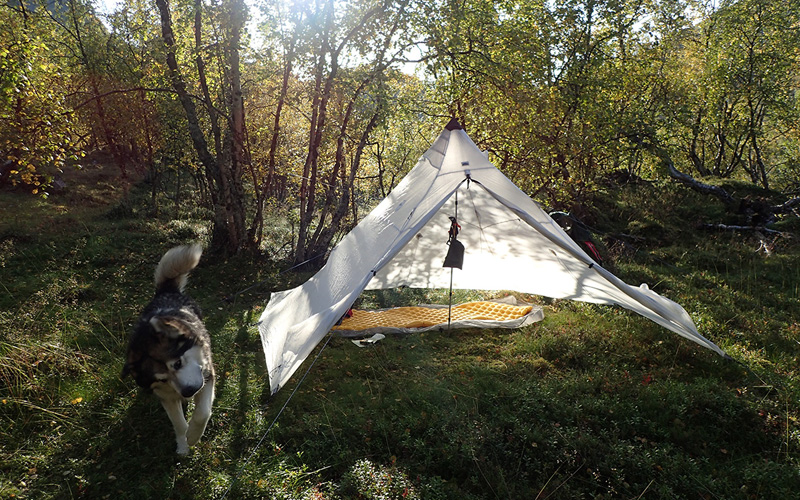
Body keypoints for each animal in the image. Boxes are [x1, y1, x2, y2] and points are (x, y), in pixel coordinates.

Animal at [122, 244, 216, 456]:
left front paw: (193, 435)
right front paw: (183, 443)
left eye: (178, 363)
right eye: (162, 379)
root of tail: (166, 292)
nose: (189, 391)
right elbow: (178, 423)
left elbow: (202, 413)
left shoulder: (207, 374)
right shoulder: (166, 395)